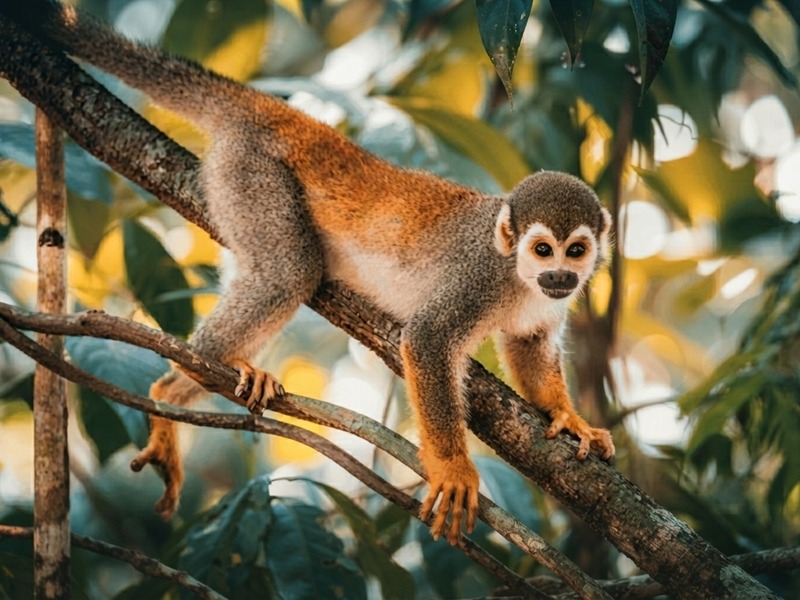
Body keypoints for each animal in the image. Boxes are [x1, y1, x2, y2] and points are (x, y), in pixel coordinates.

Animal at [1, 1, 615, 545]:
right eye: (542, 249)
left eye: (575, 251)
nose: (560, 277)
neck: (517, 277)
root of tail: (286, 118)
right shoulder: (479, 276)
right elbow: (427, 338)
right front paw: (452, 468)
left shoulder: (542, 305)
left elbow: (529, 345)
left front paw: (568, 416)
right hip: (252, 174)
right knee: (290, 273)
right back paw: (178, 381)